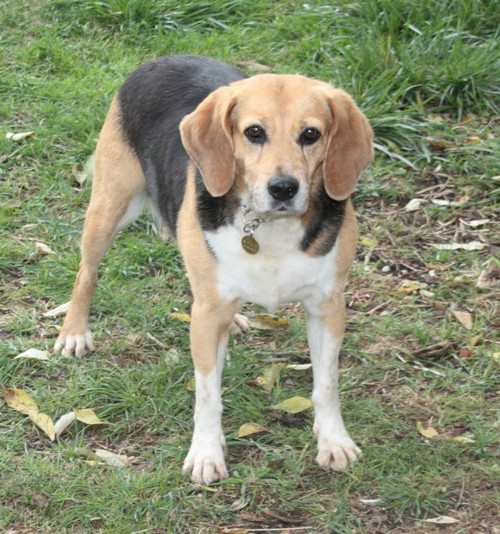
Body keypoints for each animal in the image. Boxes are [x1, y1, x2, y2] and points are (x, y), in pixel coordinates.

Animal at [55, 54, 372, 486]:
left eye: (311, 134)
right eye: (254, 132)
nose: (283, 188)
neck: (270, 229)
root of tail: (164, 57)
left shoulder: (327, 307)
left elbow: (326, 384)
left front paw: (334, 441)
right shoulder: (204, 319)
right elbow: (208, 395)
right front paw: (206, 452)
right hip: (109, 207)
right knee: (86, 273)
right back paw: (74, 332)